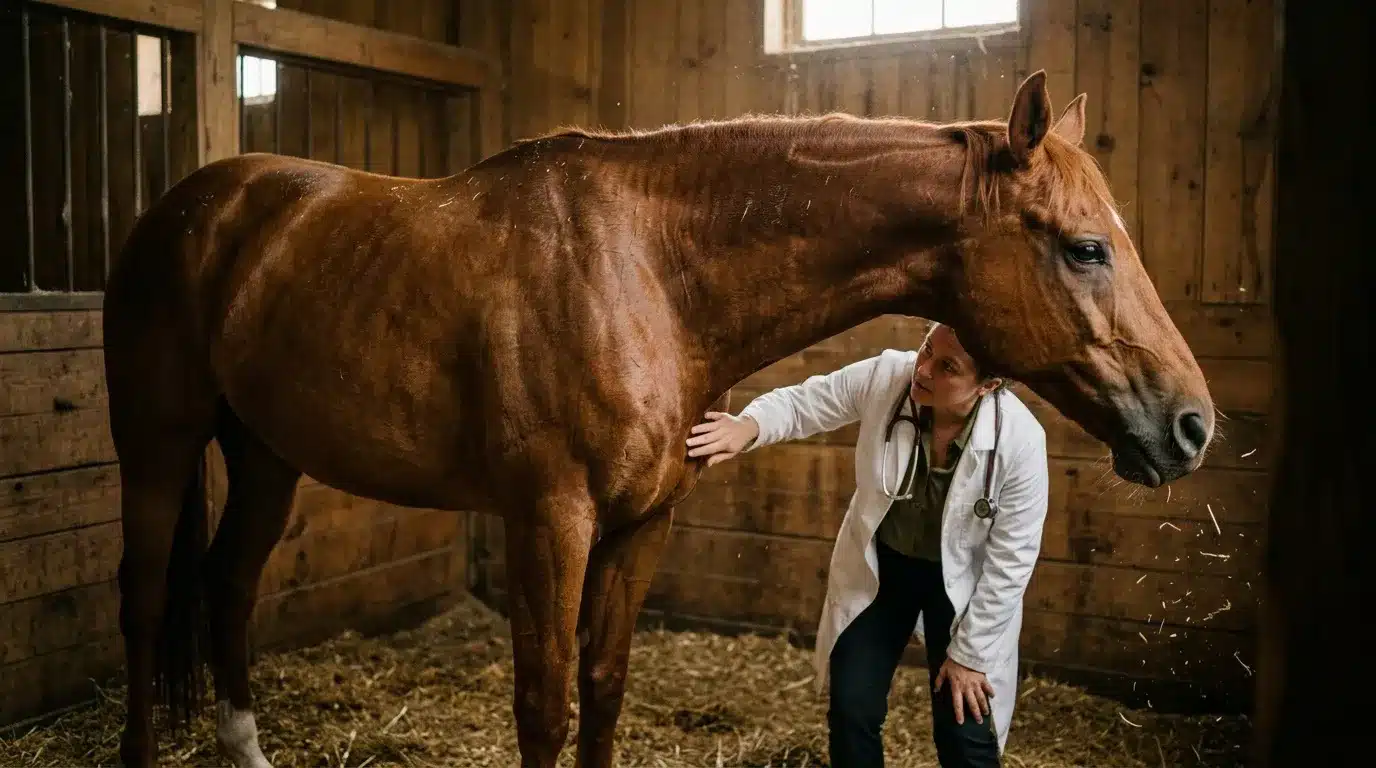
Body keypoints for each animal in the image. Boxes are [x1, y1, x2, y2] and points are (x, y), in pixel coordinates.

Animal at [101, 70, 1215, 767]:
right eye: (1084, 247)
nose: (1192, 424)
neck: (644, 273)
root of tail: (191, 207)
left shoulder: (643, 521)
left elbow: (603, 684)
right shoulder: (548, 522)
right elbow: (543, 704)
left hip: (265, 453)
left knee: (229, 584)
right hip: (158, 445)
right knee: (147, 599)